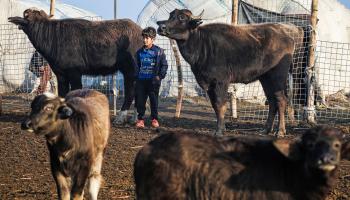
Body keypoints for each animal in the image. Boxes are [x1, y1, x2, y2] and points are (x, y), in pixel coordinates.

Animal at [9, 8, 144, 122]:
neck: (53, 37)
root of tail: (140, 32)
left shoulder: (74, 72)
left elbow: (75, 91)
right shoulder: (60, 74)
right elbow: (63, 93)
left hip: (130, 70)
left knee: (131, 92)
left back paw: (121, 117)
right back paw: (134, 118)